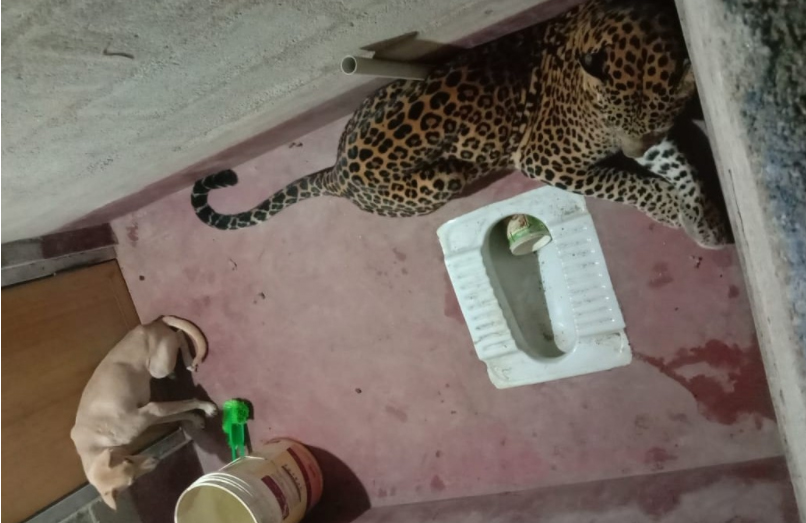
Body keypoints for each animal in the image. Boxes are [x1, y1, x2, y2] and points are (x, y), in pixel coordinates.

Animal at [191, 0, 729, 248]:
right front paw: (671, 209)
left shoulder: (650, 134)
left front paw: (707, 218)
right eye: (610, 117)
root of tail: (339, 172)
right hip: (442, 178)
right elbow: (625, 184)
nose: (630, 147)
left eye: (658, 117)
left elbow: (679, 166)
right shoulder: (546, 158)